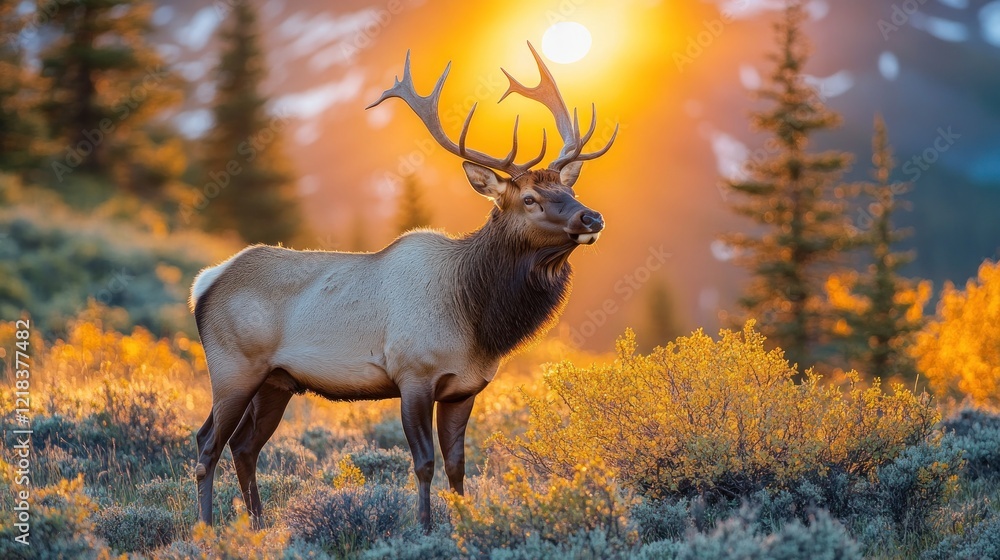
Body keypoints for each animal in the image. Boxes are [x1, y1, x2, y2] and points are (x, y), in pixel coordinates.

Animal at [190, 42, 617, 532]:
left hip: (276, 381)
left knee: (244, 447)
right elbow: (424, 462)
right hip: (233, 368)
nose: (592, 217)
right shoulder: (413, 373)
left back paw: (260, 525)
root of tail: (205, 283)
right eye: (529, 199)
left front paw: (461, 523)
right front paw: (425, 527)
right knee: (206, 444)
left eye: (570, 191)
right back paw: (207, 529)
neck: (477, 318)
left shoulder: (465, 388)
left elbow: (457, 465)